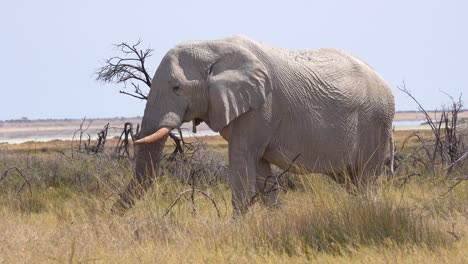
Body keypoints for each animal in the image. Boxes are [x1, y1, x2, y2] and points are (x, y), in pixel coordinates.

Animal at [113, 34, 394, 214]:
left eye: (176, 88)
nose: (114, 215)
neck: (214, 46)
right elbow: (261, 175)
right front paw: (275, 222)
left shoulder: (261, 108)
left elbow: (242, 166)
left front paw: (235, 230)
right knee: (351, 180)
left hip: (375, 122)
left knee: (367, 178)